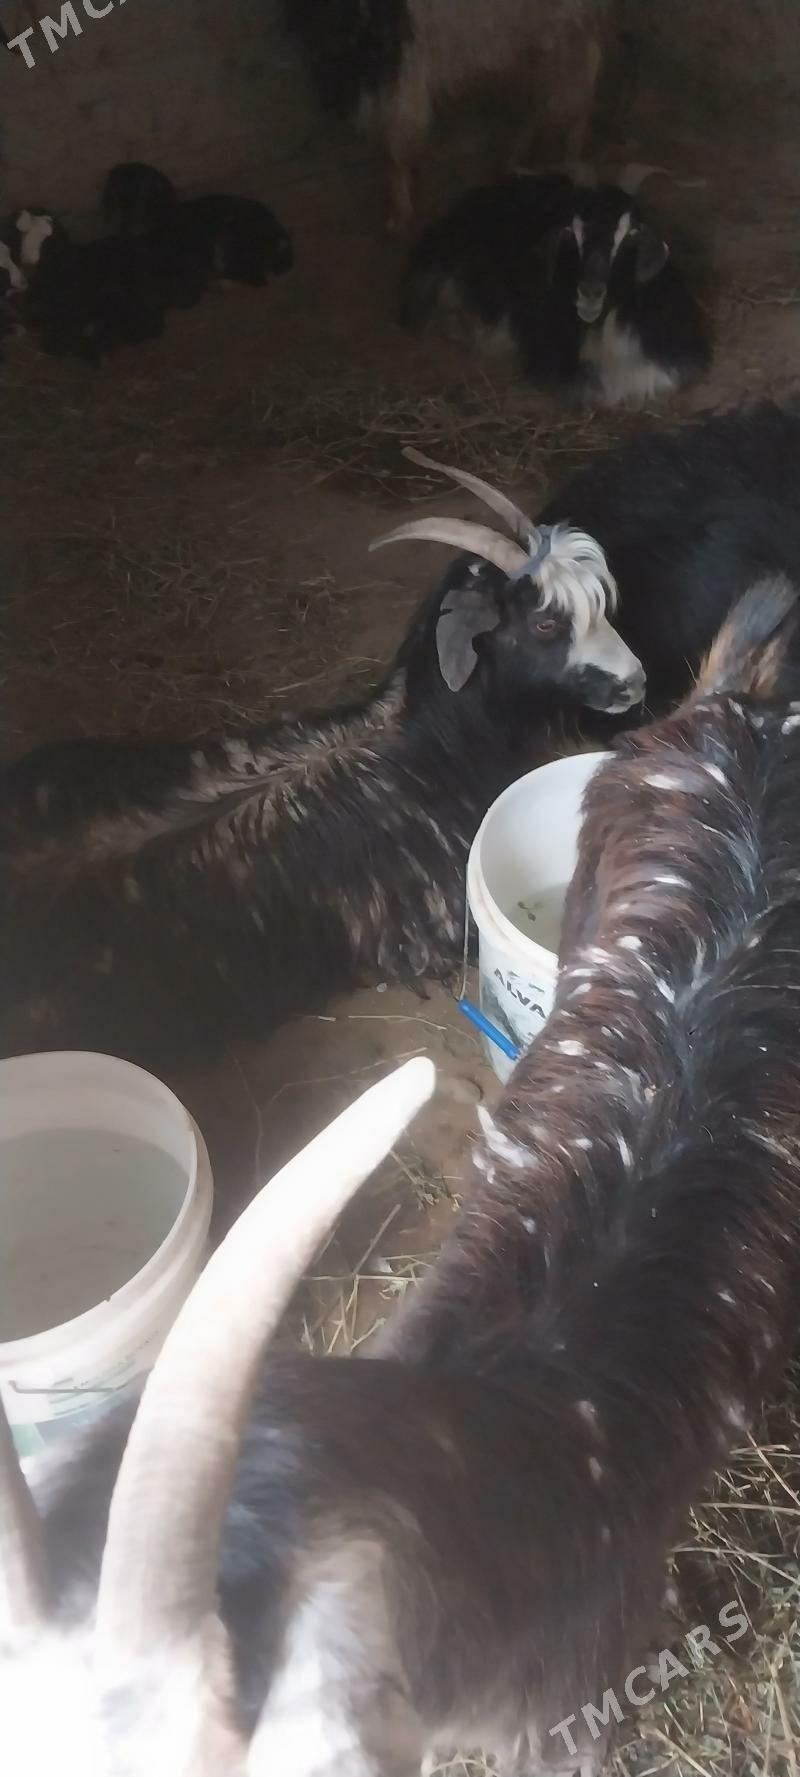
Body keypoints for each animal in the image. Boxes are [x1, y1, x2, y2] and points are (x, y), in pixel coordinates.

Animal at [284, 0, 617, 229]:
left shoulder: (404, 84)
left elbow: (396, 152)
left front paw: (400, 212)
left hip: (564, 44)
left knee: (573, 105)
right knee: (547, 104)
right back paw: (516, 158)